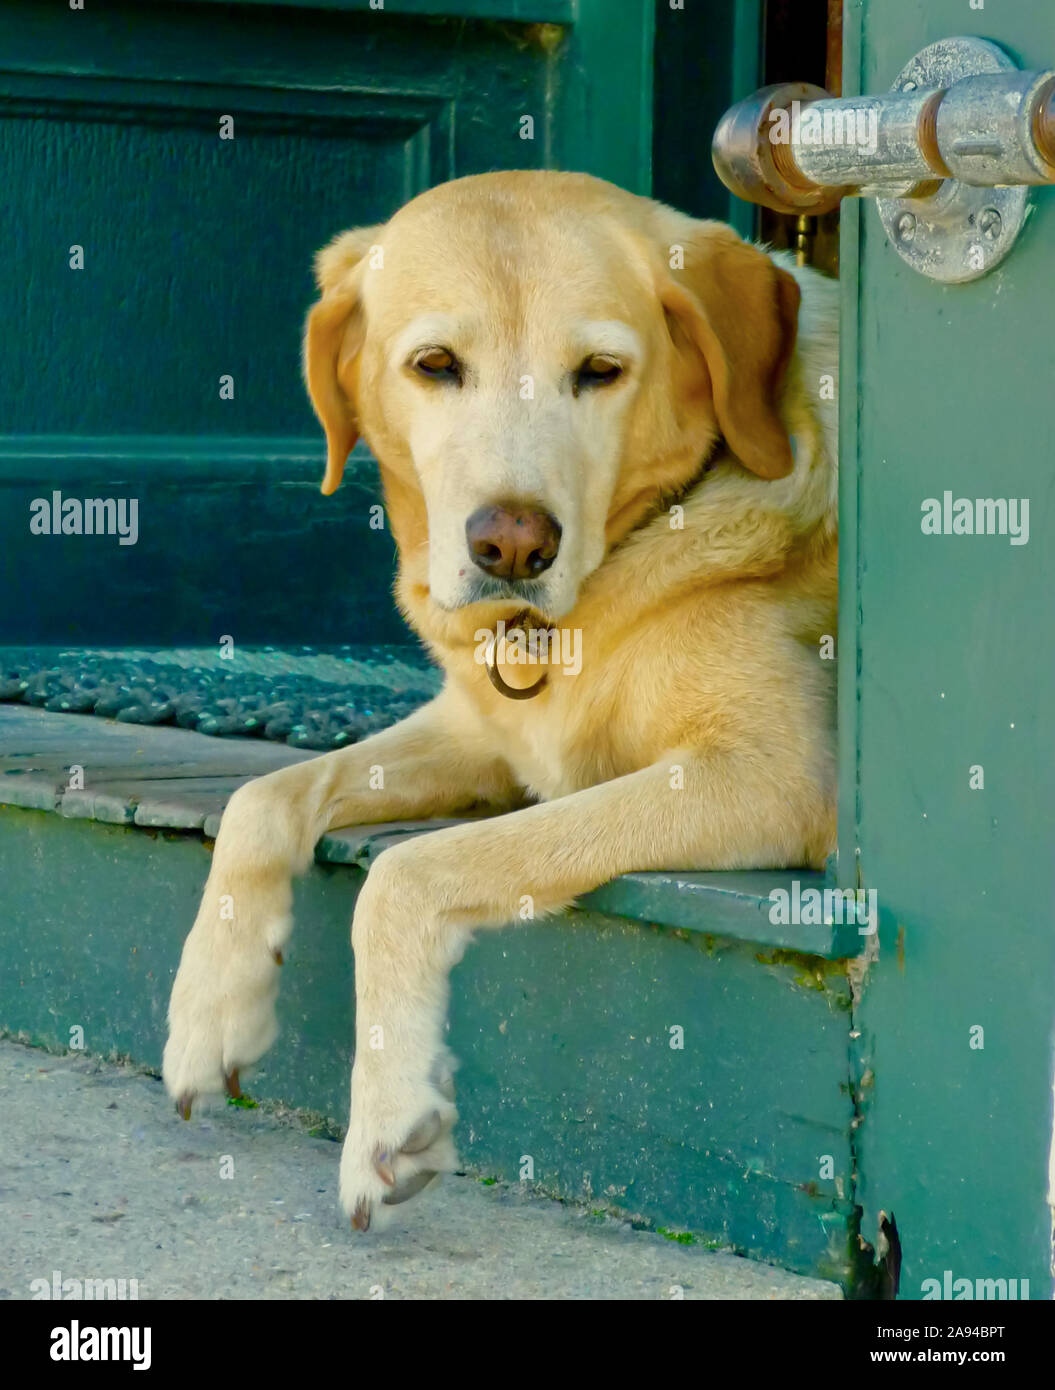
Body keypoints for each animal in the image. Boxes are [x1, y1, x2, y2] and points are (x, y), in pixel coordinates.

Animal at [163, 170, 839, 1228]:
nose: (513, 543)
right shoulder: (482, 735)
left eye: (600, 371)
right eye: (436, 365)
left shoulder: (771, 775)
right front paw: (209, 1009)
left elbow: (406, 874)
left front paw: (387, 1113)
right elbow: (261, 796)